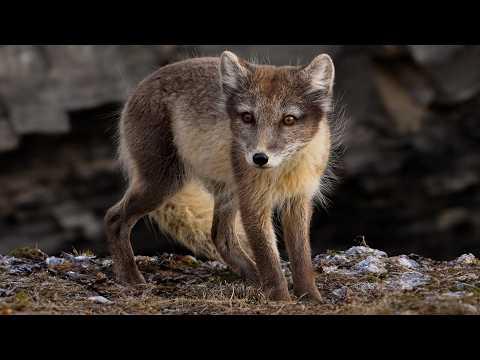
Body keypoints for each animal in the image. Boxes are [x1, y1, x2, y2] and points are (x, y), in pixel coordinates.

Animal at [105, 50, 340, 300]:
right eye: (247, 117)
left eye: (289, 120)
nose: (259, 158)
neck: (283, 170)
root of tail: (138, 88)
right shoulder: (253, 202)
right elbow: (269, 258)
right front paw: (281, 299)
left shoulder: (299, 199)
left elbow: (301, 256)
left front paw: (310, 297)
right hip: (162, 184)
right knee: (113, 217)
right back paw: (130, 278)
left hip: (226, 192)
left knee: (219, 236)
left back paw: (254, 279)